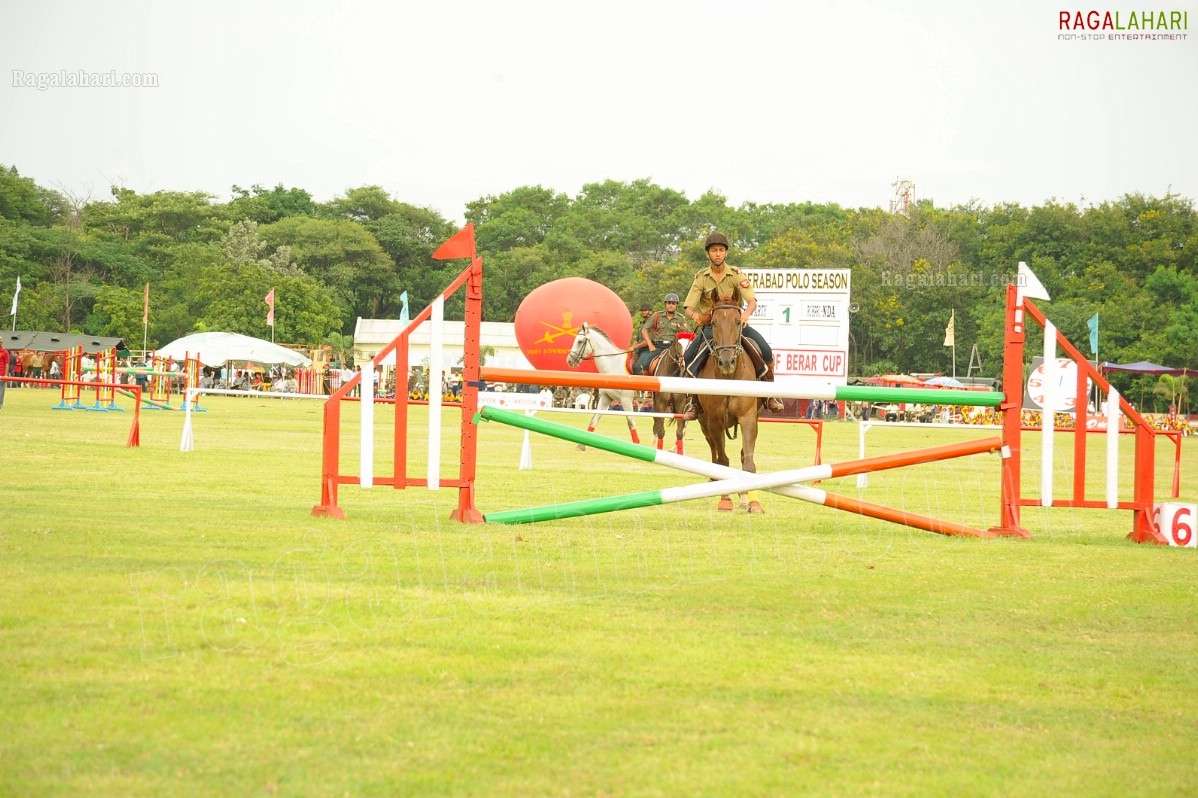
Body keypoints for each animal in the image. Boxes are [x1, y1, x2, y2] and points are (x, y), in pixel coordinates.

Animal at [699, 294, 761, 512]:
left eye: (737, 321)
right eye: (713, 323)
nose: (727, 362)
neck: (729, 377)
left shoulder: (748, 418)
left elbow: (749, 463)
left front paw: (754, 503)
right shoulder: (715, 422)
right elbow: (722, 462)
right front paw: (725, 500)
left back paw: (743, 497)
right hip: (704, 424)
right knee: (714, 453)